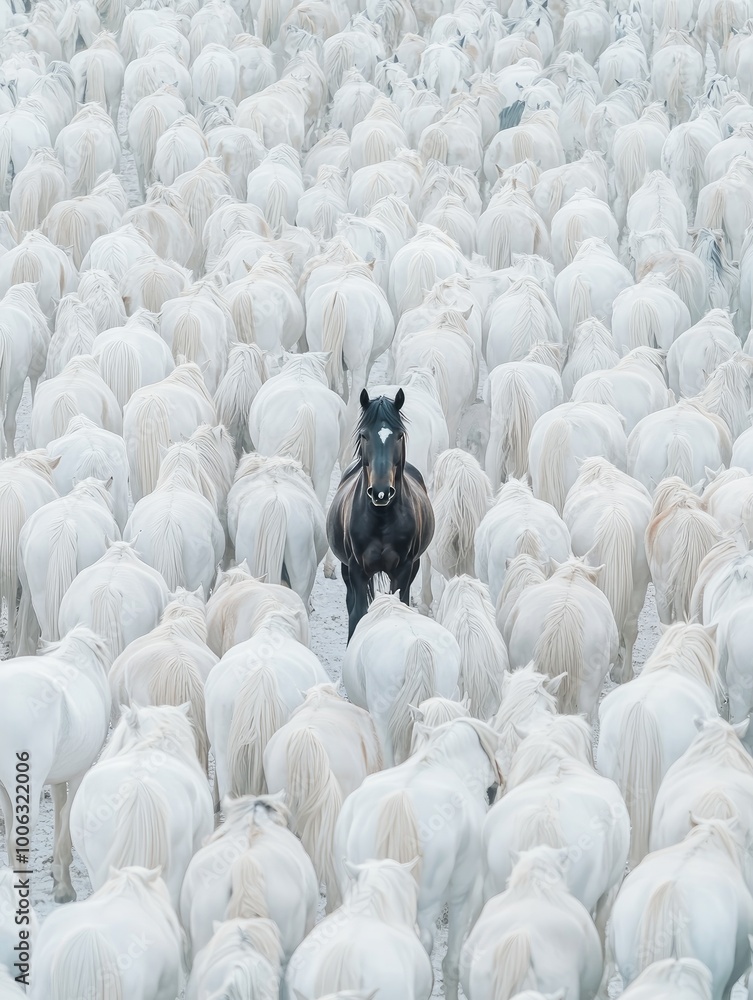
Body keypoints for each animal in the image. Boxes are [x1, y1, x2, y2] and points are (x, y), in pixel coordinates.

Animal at [326, 389, 435, 641]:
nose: (381, 492)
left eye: (399, 436)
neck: (381, 519)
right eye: (364, 435)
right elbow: (358, 614)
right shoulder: (356, 570)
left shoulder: (403, 570)